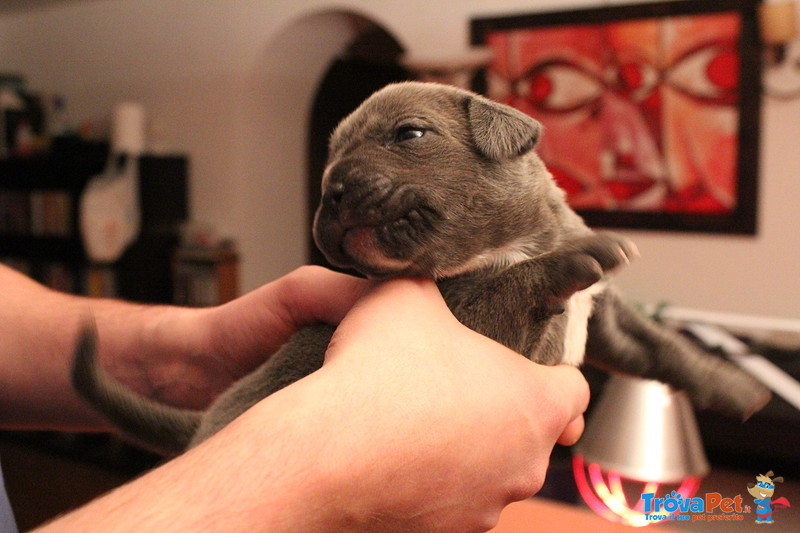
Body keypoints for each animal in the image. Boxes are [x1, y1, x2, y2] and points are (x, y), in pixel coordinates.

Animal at [72, 82, 772, 454]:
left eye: (409, 135)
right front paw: (570, 258)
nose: (329, 191)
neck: (510, 241)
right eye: (330, 157)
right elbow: (518, 283)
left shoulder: (603, 320)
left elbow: (659, 346)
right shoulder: (482, 331)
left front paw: (734, 387)